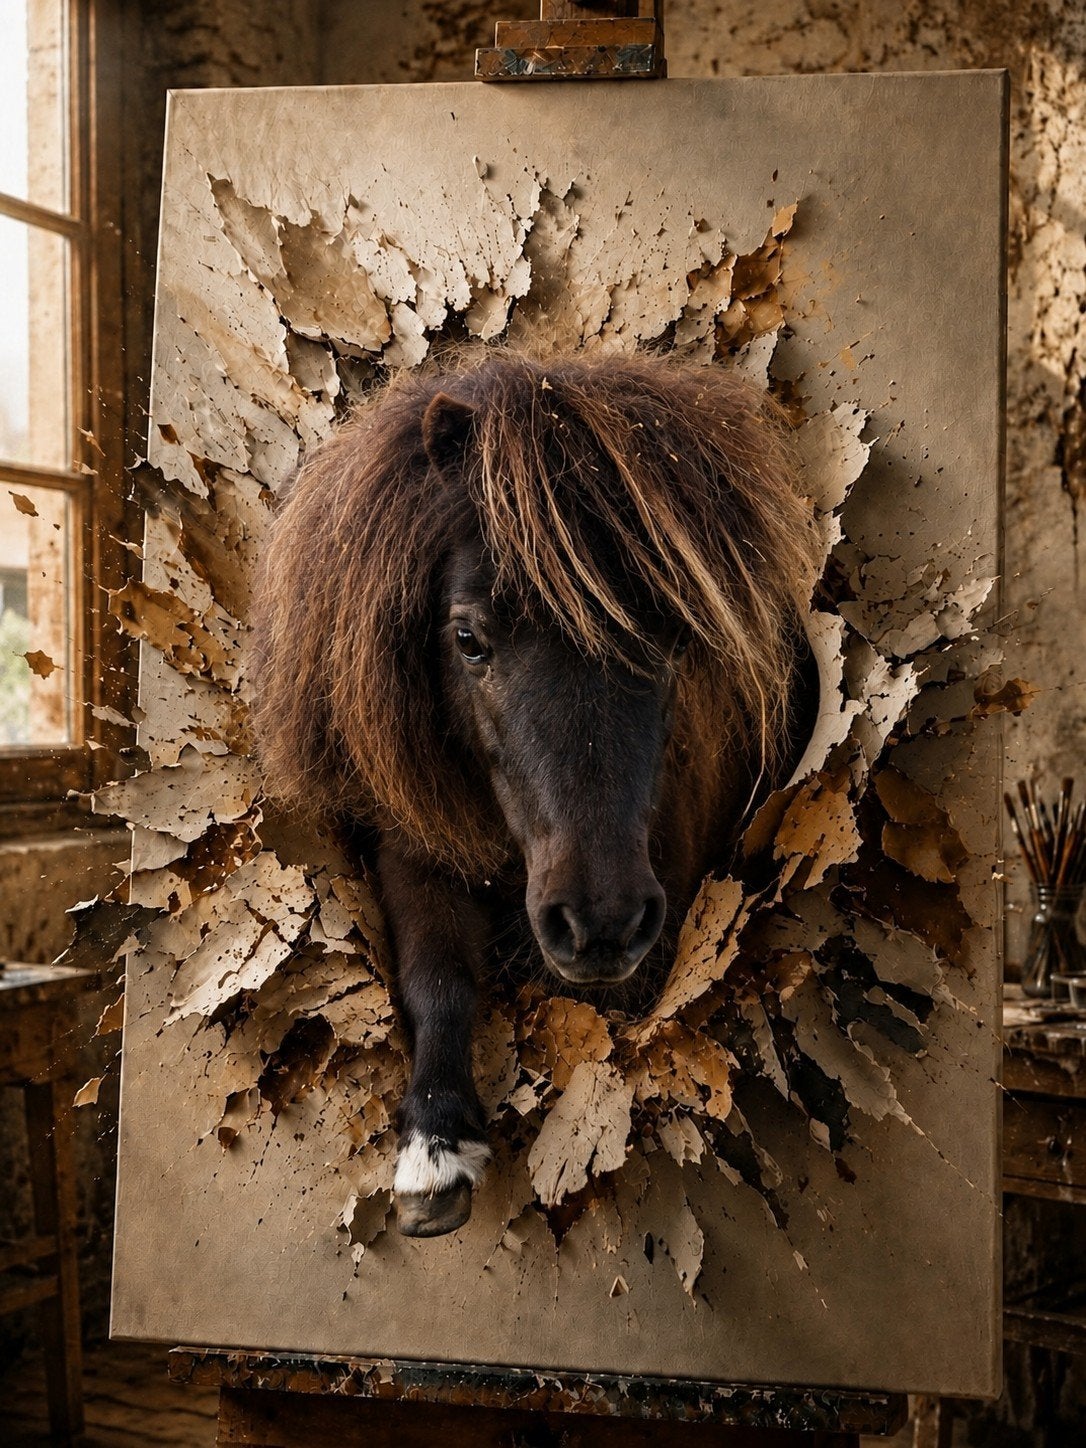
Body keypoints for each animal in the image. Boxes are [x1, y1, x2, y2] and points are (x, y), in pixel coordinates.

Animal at [251, 350, 821, 1237]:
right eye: (467, 636)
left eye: (675, 635)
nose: (600, 922)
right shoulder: (411, 841)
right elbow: (437, 976)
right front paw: (435, 1145)